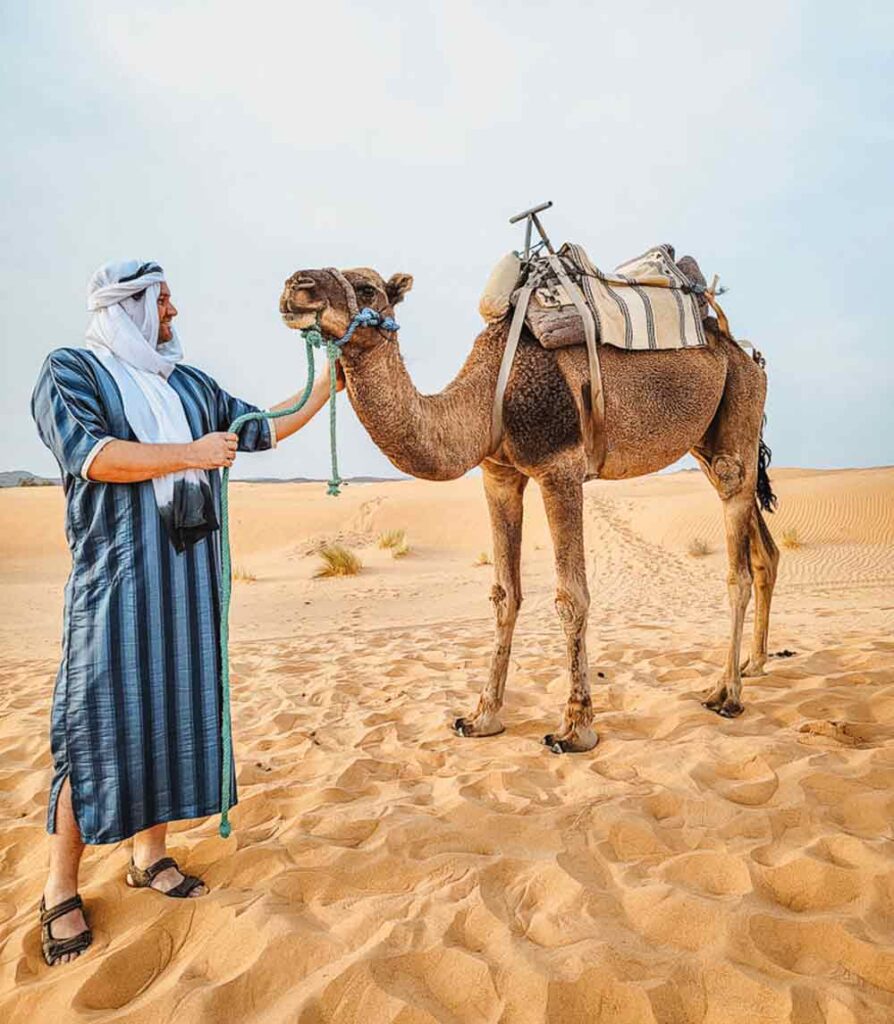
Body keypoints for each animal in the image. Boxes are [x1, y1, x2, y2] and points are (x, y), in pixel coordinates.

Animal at [279, 264, 779, 753]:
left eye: (366, 287)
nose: (295, 286)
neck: (488, 397)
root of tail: (745, 353)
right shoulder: (499, 475)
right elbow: (504, 593)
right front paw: (481, 717)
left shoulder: (560, 467)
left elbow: (571, 596)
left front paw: (575, 728)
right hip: (707, 444)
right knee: (763, 549)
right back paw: (754, 664)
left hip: (740, 408)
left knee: (737, 565)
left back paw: (727, 693)